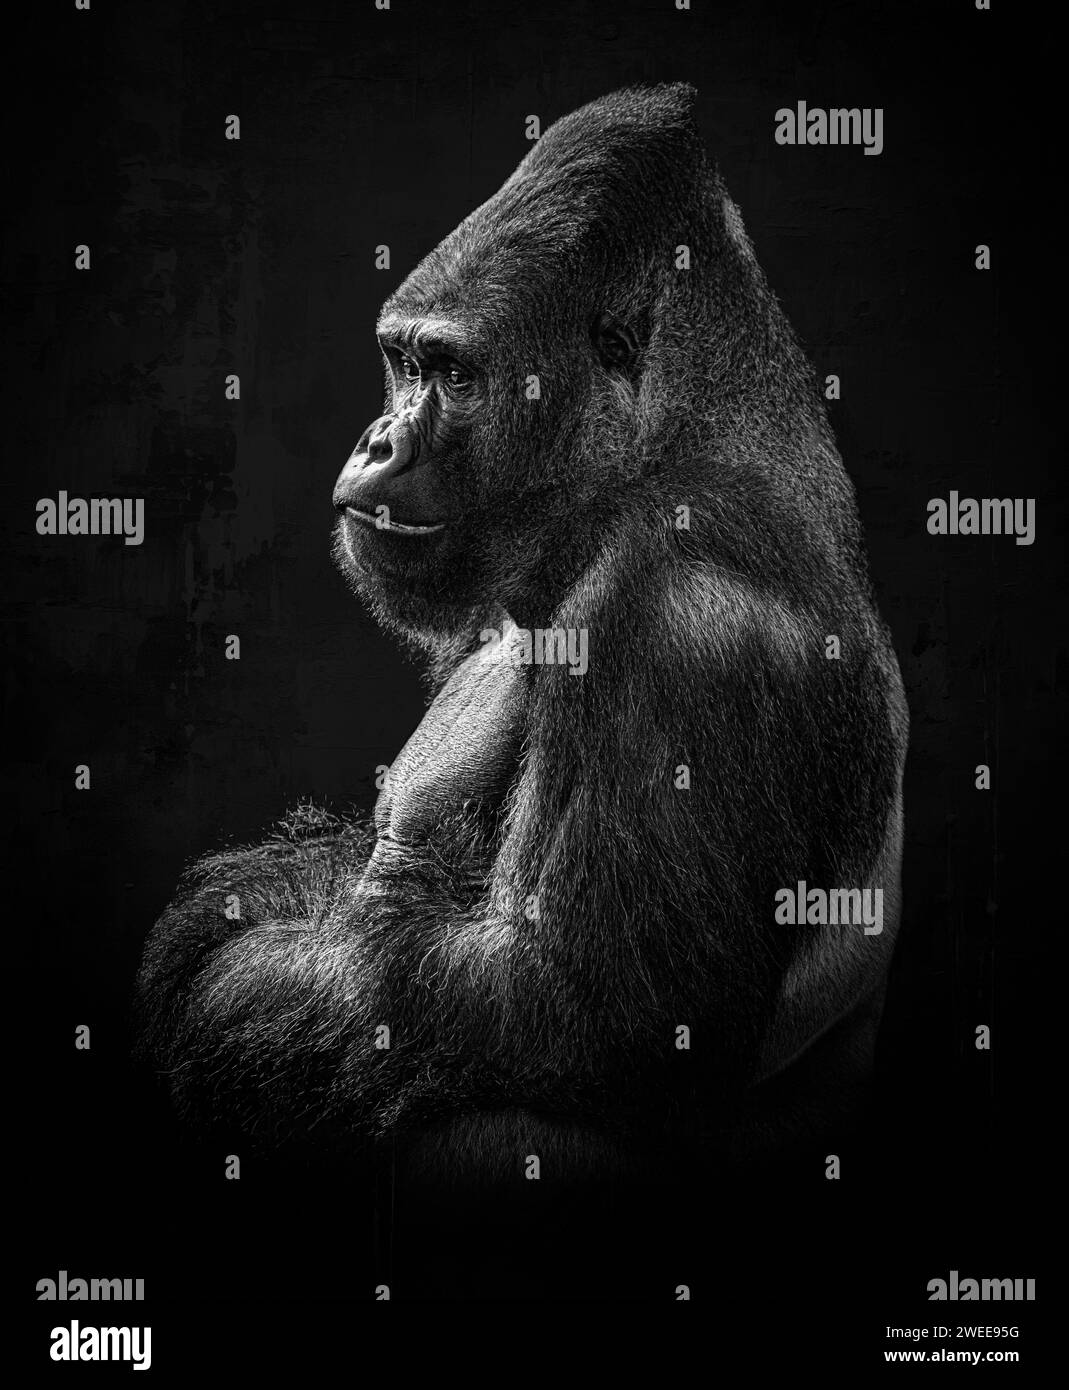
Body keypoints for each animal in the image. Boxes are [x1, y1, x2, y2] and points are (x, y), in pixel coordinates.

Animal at [136, 83, 908, 1184]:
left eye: (450, 372)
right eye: (399, 360)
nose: (376, 442)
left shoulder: (686, 620)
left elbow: (585, 1020)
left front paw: (215, 980)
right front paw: (227, 902)